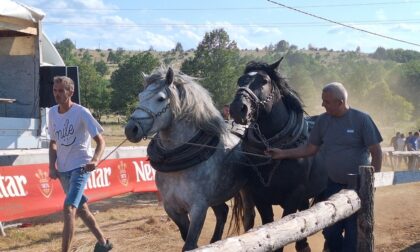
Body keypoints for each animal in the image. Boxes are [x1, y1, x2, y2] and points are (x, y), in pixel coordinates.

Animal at [124, 66, 249, 250]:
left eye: (160, 98)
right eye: (140, 96)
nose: (131, 129)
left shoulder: (198, 208)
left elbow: (189, 243)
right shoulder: (172, 207)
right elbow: (185, 236)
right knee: (222, 212)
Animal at [230, 58, 328, 252]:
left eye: (264, 81)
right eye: (240, 80)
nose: (238, 108)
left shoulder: (294, 194)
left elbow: (287, 225)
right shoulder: (260, 196)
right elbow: (270, 226)